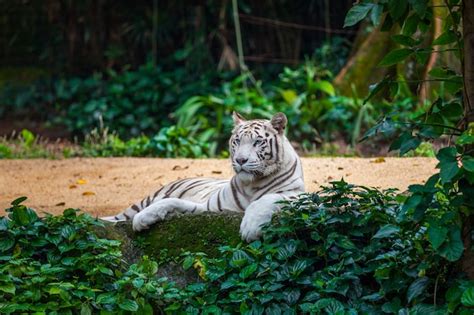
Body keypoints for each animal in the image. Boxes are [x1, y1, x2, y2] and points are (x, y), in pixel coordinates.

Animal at [102, 113, 306, 242]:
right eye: (237, 141)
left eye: (257, 142)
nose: (240, 160)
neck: (252, 184)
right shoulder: (211, 209)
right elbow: (172, 202)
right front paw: (142, 219)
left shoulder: (299, 197)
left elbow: (267, 199)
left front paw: (251, 227)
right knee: (119, 217)